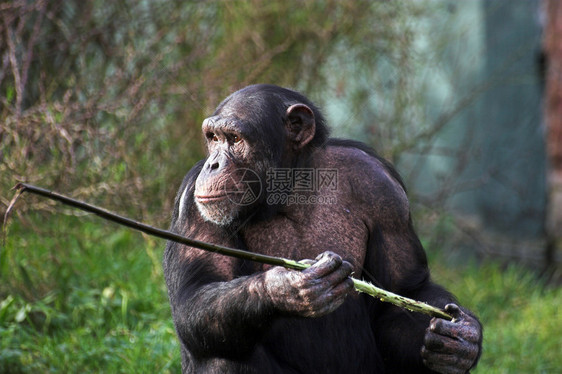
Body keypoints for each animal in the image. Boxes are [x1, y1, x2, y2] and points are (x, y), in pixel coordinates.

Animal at [162, 84, 482, 374]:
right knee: (223, 356)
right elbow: (197, 292)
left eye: (234, 139)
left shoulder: (384, 192)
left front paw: (461, 338)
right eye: (214, 138)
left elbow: (405, 290)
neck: (291, 189)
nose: (213, 164)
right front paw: (289, 287)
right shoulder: (194, 206)